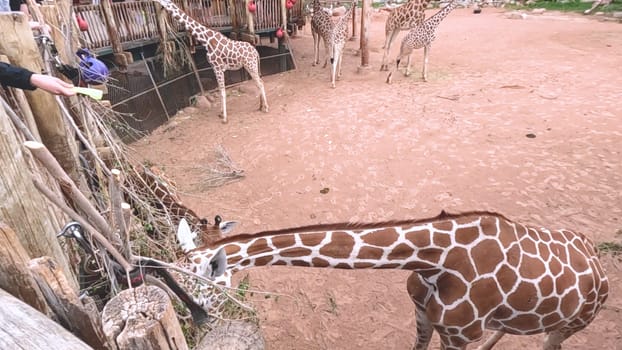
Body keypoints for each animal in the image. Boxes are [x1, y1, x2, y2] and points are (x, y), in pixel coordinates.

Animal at [179, 211, 608, 350]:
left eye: (202, 287)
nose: (193, 324)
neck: (434, 259)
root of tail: (600, 269)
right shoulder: (422, 314)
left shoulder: (460, 335)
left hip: (572, 324)